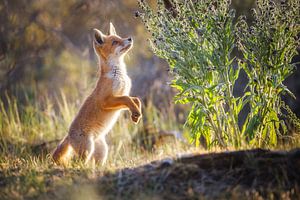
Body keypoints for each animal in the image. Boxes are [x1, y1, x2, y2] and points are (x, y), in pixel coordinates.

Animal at [52, 22, 142, 166]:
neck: (118, 75)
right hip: (87, 149)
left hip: (102, 150)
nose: (130, 38)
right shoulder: (106, 100)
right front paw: (135, 113)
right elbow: (127, 98)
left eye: (120, 36)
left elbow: (135, 99)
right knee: (78, 163)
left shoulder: (120, 97)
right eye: (115, 42)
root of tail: (69, 135)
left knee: (94, 163)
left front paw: (136, 115)